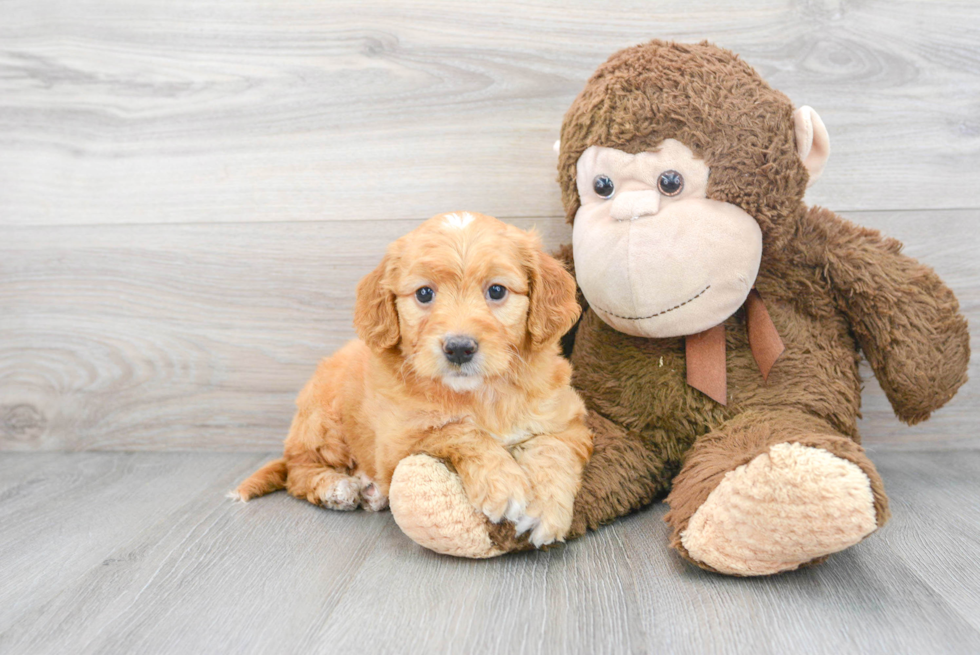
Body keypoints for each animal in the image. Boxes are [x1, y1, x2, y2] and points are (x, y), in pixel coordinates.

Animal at [234, 213, 592, 544]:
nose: (459, 348)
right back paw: (338, 487)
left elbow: (553, 449)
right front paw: (502, 483)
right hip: (324, 419)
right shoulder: (400, 438)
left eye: (496, 290)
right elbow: (459, 430)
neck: (480, 395)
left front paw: (545, 509)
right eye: (423, 294)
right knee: (297, 471)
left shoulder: (568, 421)